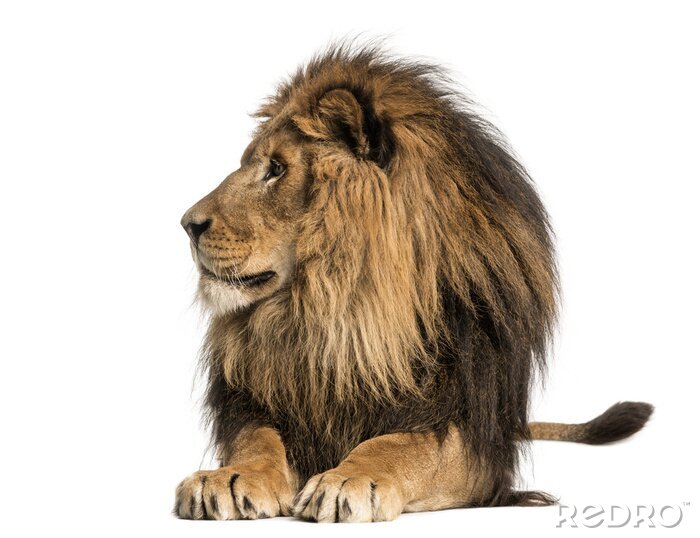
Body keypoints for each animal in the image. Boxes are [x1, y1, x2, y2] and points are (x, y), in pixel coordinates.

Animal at [174, 44, 653, 522]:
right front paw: (228, 477)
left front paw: (348, 478)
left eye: (276, 169)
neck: (339, 316)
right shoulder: (258, 405)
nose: (187, 224)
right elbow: (256, 441)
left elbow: (400, 446)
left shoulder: (470, 431)